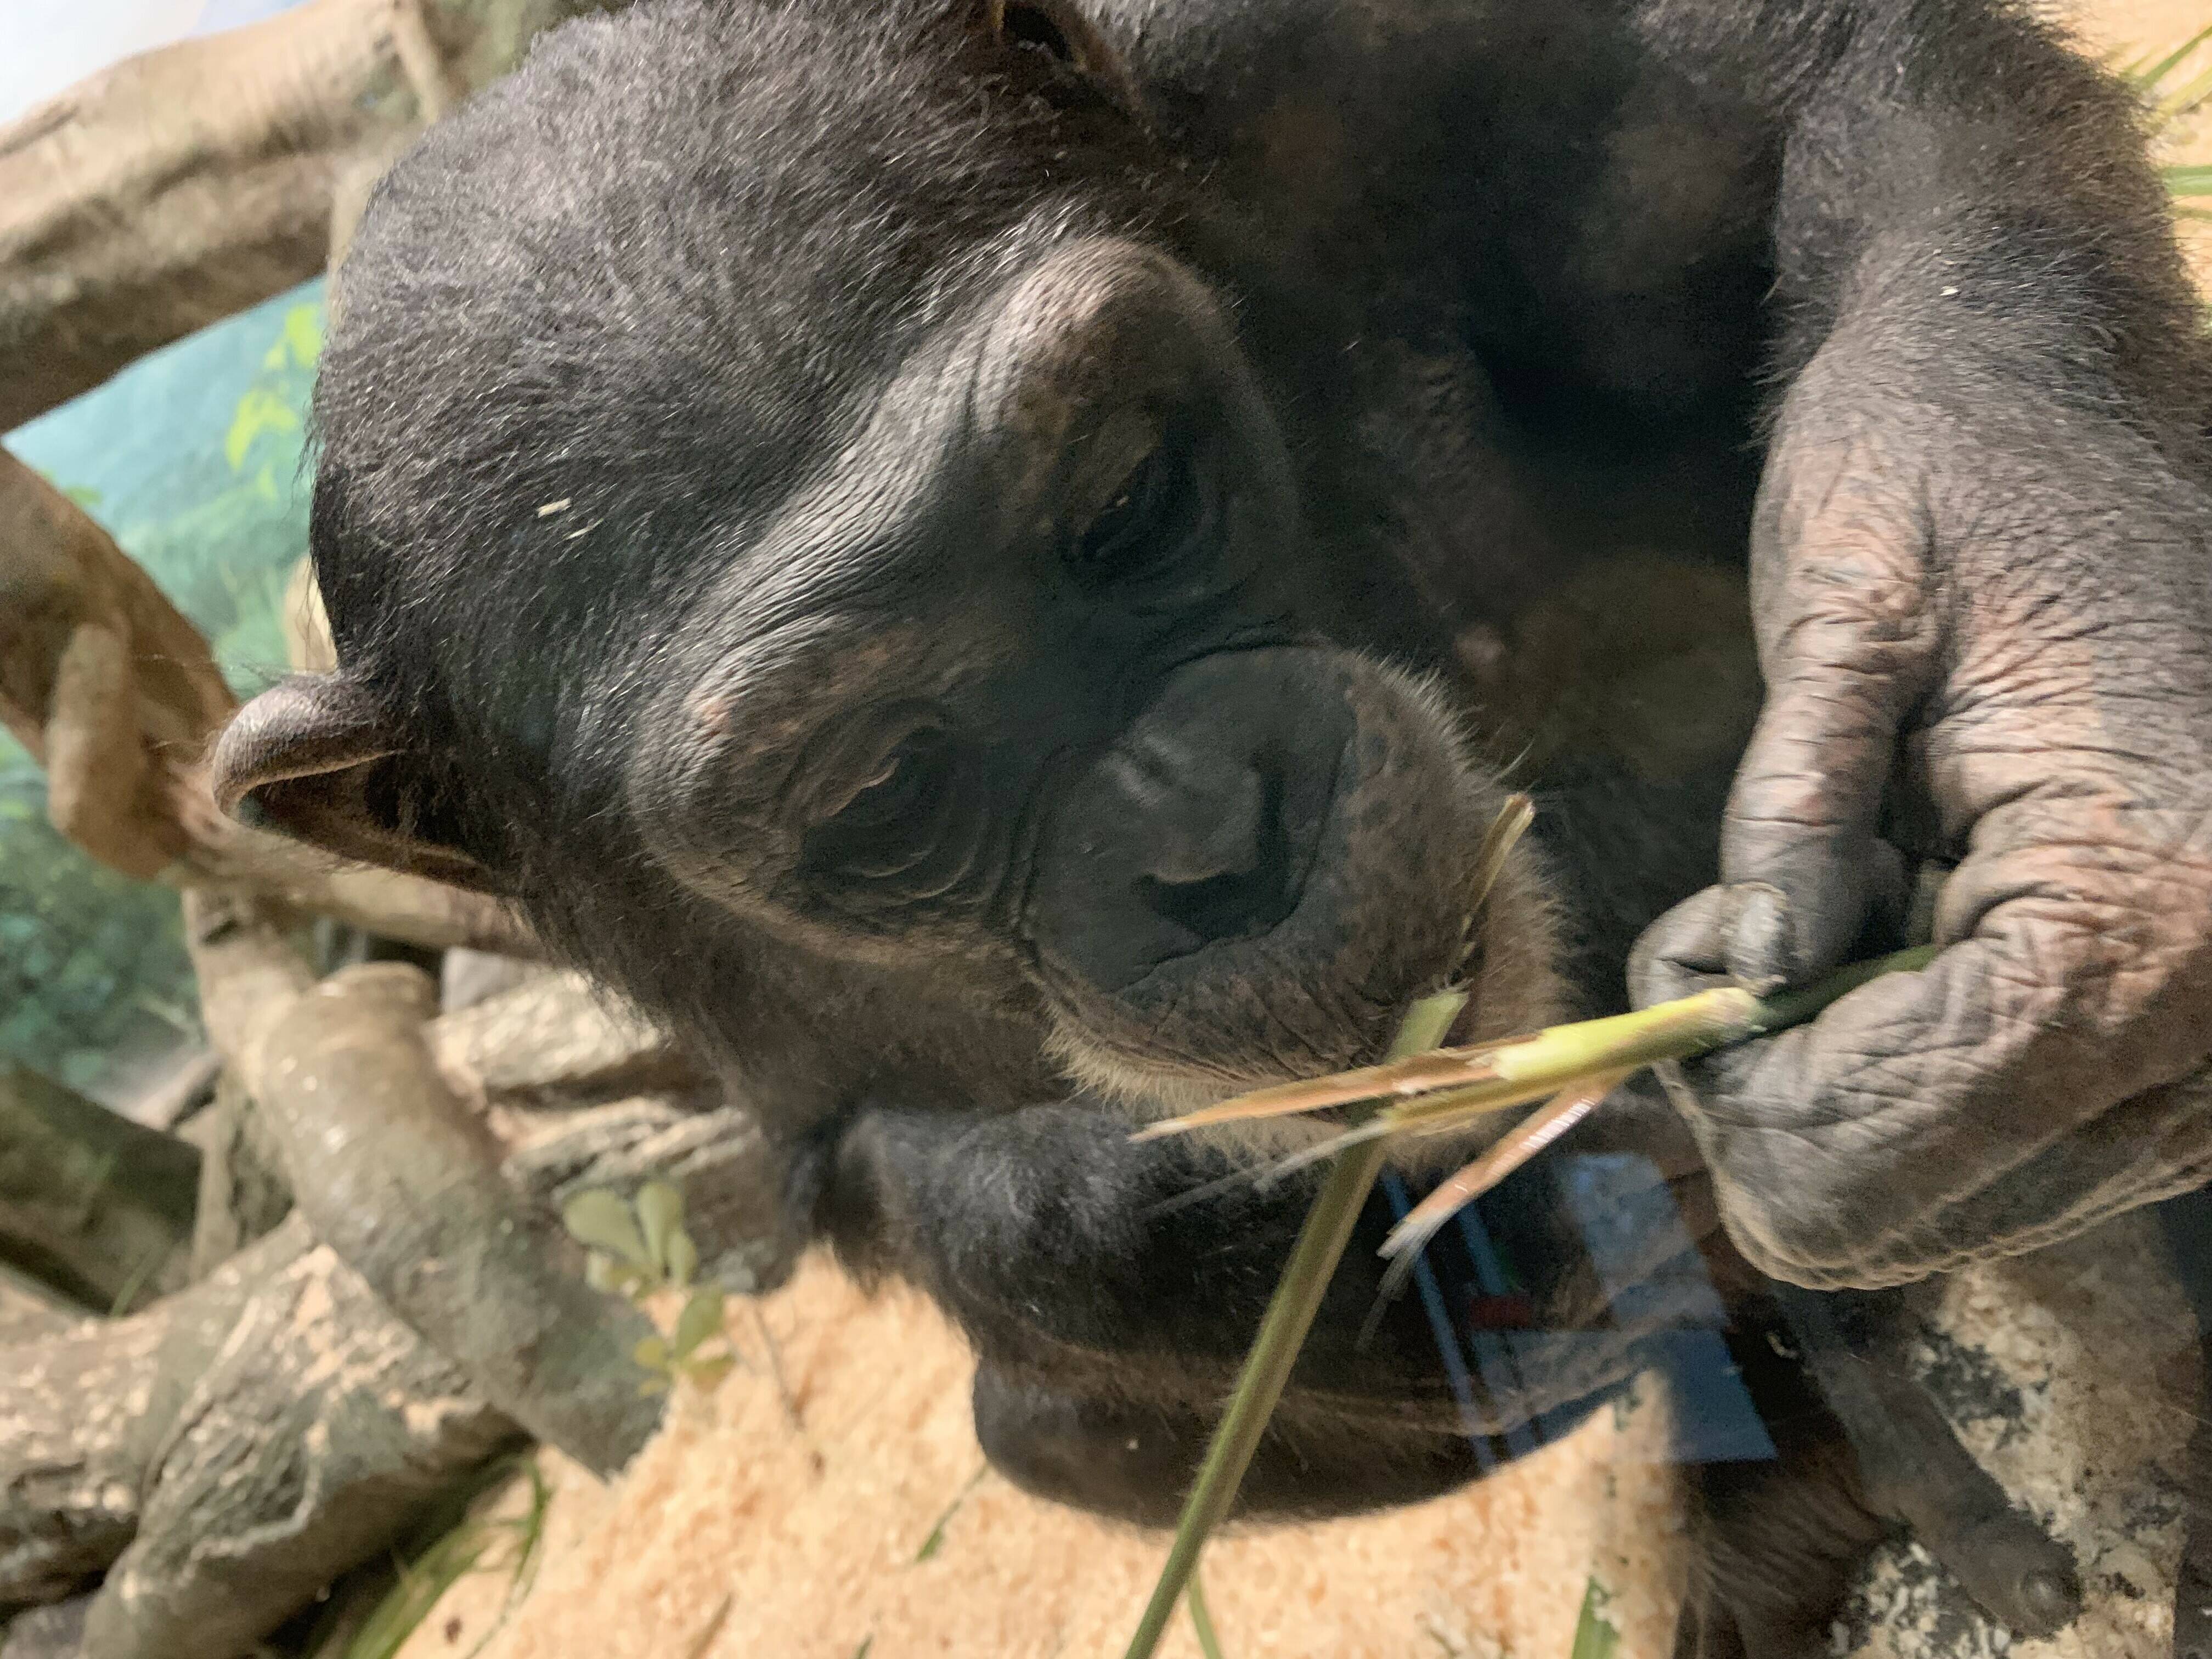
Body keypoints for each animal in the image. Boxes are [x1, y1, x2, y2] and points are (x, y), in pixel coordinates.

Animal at [208, 3, 2212, 1654]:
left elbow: (1800, 108)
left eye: (1125, 503)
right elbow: (878, 1172)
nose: (1212, 837)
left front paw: (2066, 775)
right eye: (879, 792)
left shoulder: (1330, 58)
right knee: (1052, 1419)